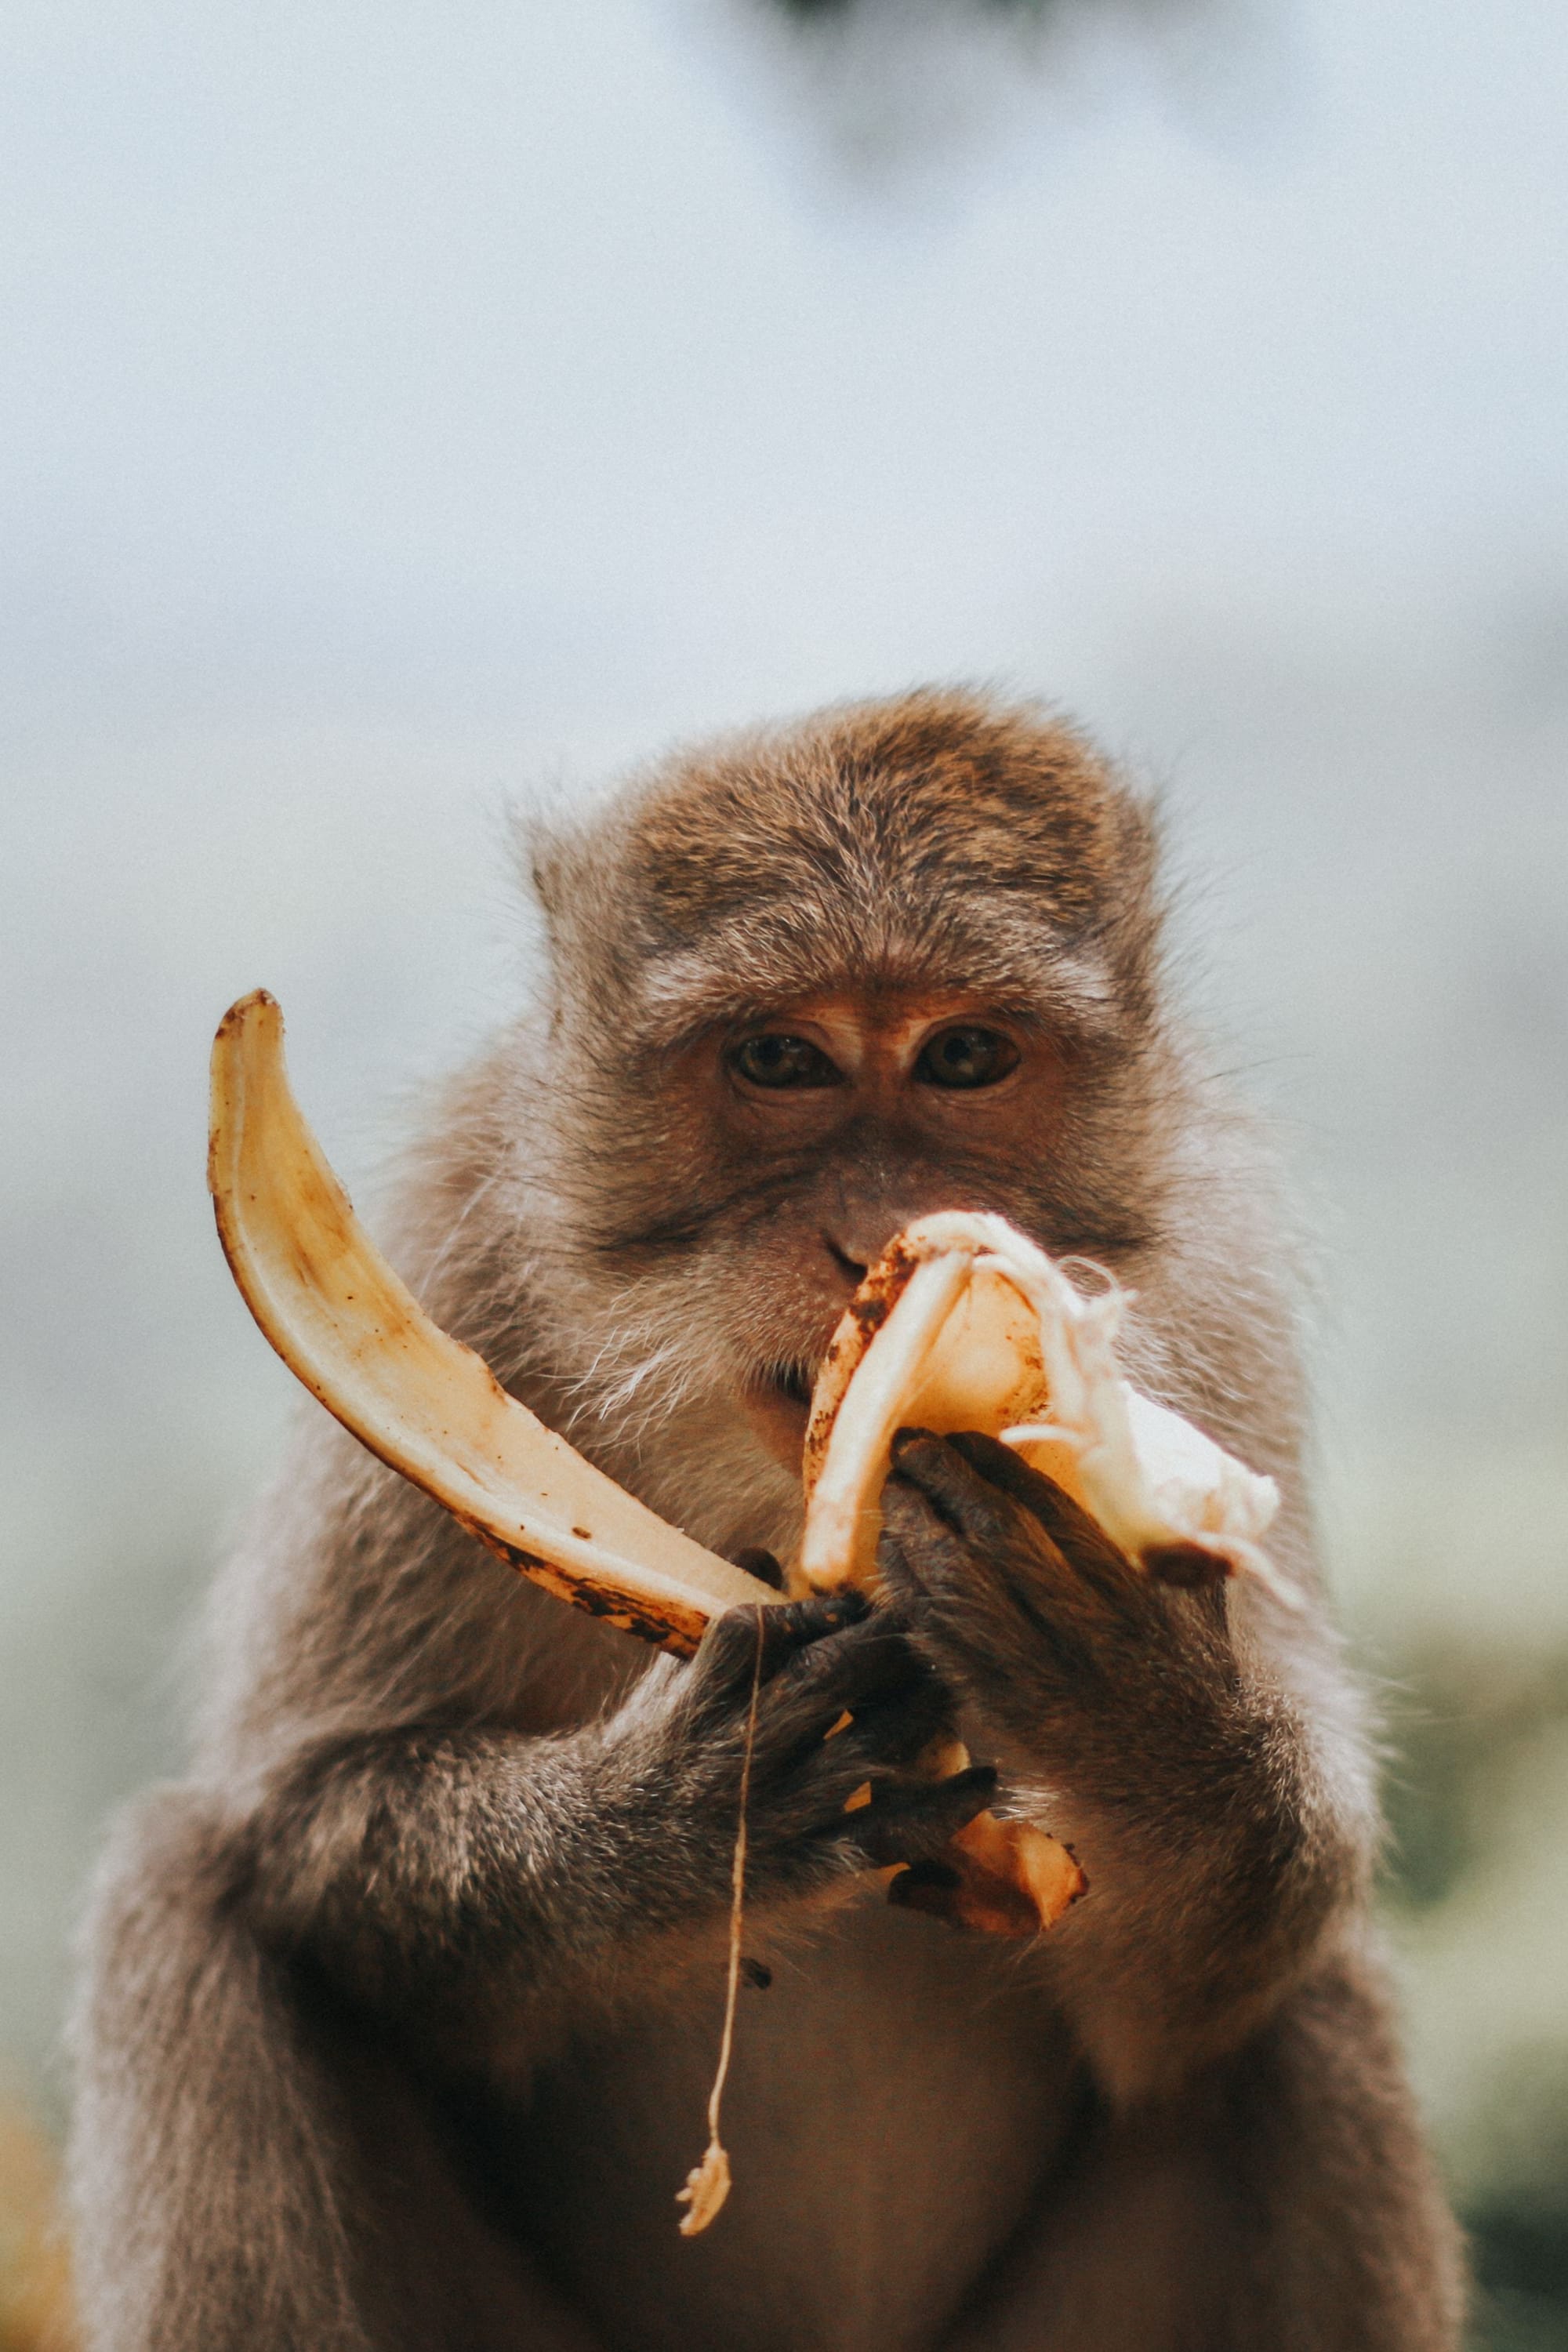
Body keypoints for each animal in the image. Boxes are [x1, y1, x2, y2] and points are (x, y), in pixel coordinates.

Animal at [70, 687, 1476, 2352]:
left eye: (966, 1054)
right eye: (782, 1058)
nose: (875, 1237)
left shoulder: (1222, 1283)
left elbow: (1200, 1981)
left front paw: (1154, 1723)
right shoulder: (454, 1233)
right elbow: (312, 1815)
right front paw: (679, 1816)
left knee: (1312, 1995)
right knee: (185, 1893)